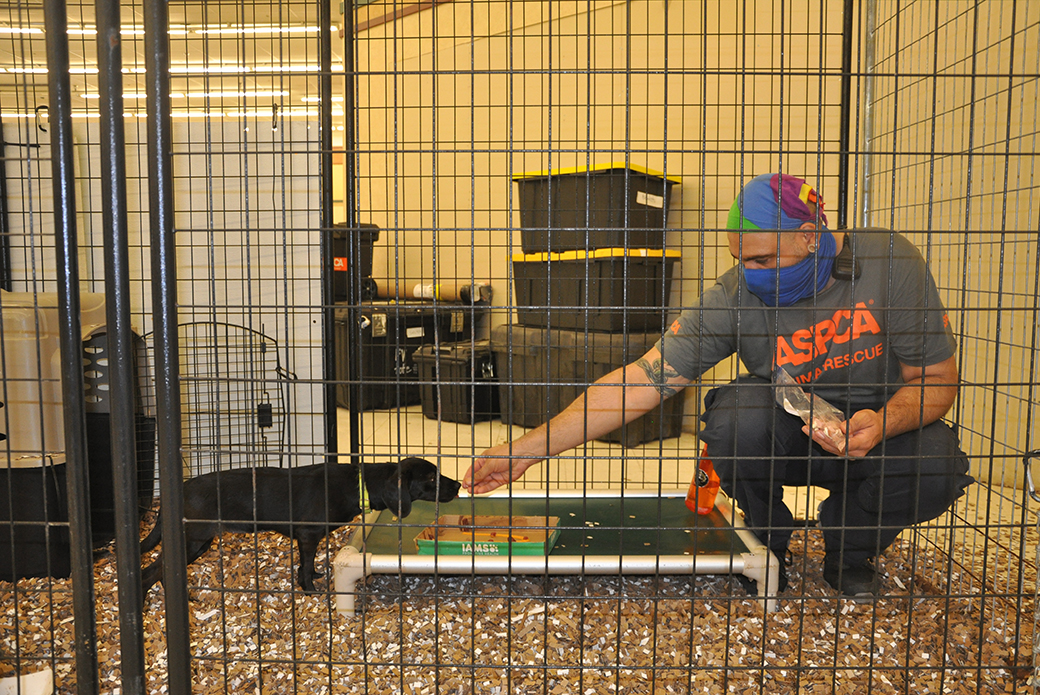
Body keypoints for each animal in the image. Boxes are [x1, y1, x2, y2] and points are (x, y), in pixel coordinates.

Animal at [139, 455, 459, 599]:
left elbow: (307, 564)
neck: (357, 484)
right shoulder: (308, 535)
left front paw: (313, 576)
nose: (457, 485)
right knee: (151, 572)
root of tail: (176, 491)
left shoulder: (307, 539)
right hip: (192, 540)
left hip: (199, 542)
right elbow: (304, 567)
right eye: (431, 477)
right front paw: (310, 590)